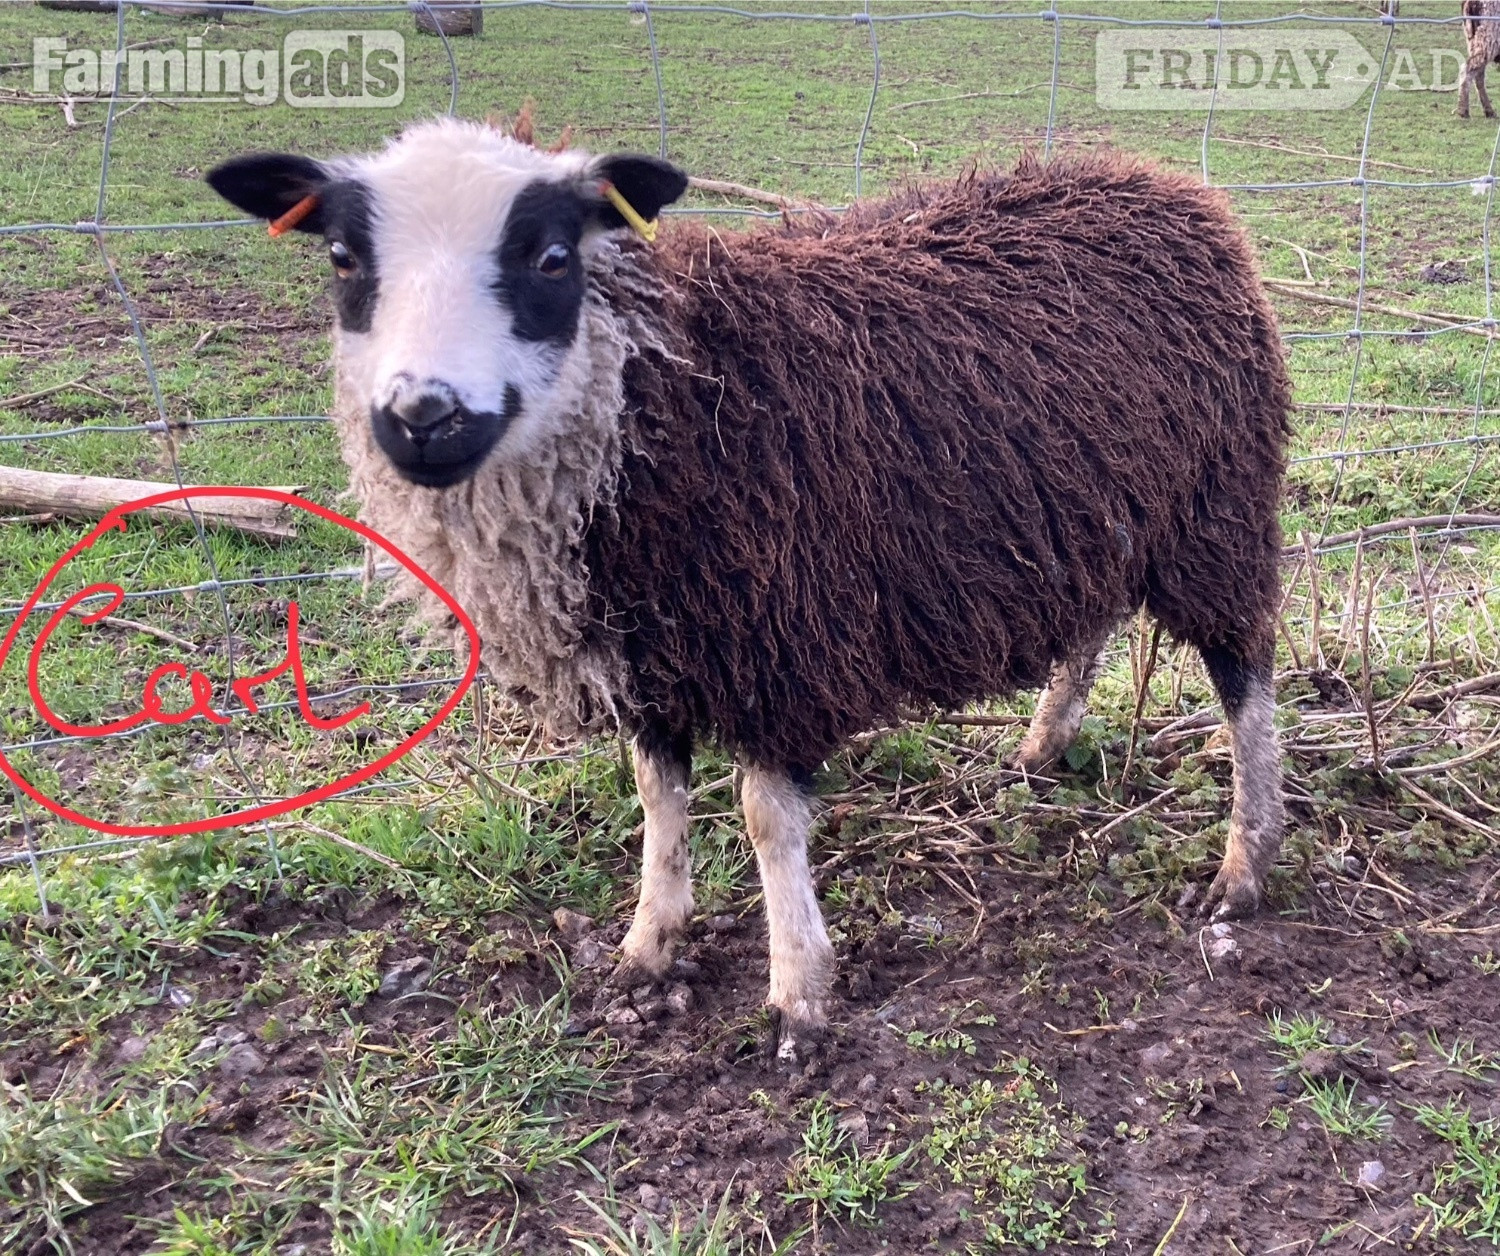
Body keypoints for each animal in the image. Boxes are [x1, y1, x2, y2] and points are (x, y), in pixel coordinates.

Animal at [208, 119, 1292, 1061]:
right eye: (343, 257)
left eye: (551, 257)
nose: (423, 417)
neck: (664, 398)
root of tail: (1166, 186)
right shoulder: (648, 652)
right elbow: (658, 797)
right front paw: (648, 943)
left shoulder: (780, 639)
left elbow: (768, 819)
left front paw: (797, 993)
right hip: (1094, 515)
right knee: (1093, 621)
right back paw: (1041, 744)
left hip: (1216, 509)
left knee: (1245, 675)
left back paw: (1243, 863)